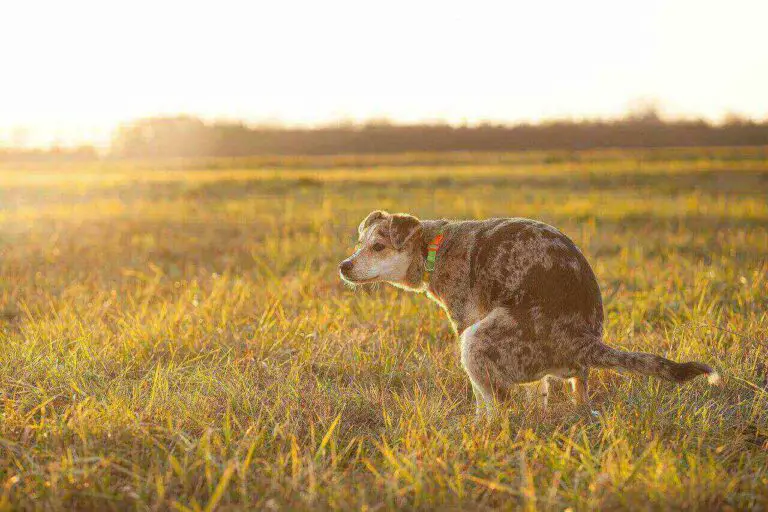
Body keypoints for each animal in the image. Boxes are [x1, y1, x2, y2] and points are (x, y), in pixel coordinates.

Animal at [340, 212, 716, 416]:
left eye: (378, 247)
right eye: (359, 244)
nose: (344, 266)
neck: (434, 247)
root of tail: (584, 341)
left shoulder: (466, 324)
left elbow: (482, 400)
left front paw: (476, 425)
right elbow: (539, 393)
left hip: (476, 340)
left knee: (501, 407)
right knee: (570, 392)